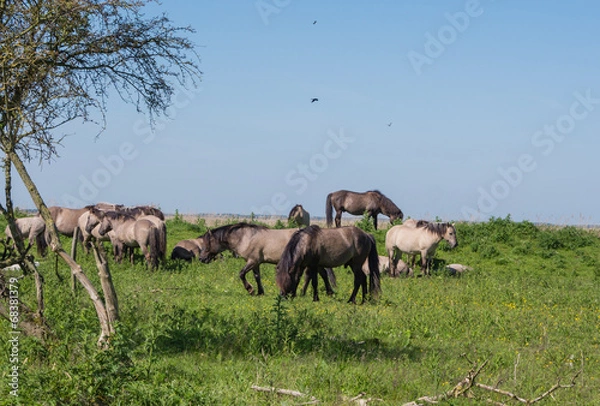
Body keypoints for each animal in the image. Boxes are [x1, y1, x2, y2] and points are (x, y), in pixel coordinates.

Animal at [199, 222, 336, 294]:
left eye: (208, 243)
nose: (201, 259)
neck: (246, 238)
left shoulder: (252, 261)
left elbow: (241, 274)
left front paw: (250, 290)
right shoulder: (255, 263)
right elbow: (257, 277)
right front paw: (260, 292)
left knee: (318, 274)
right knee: (317, 275)